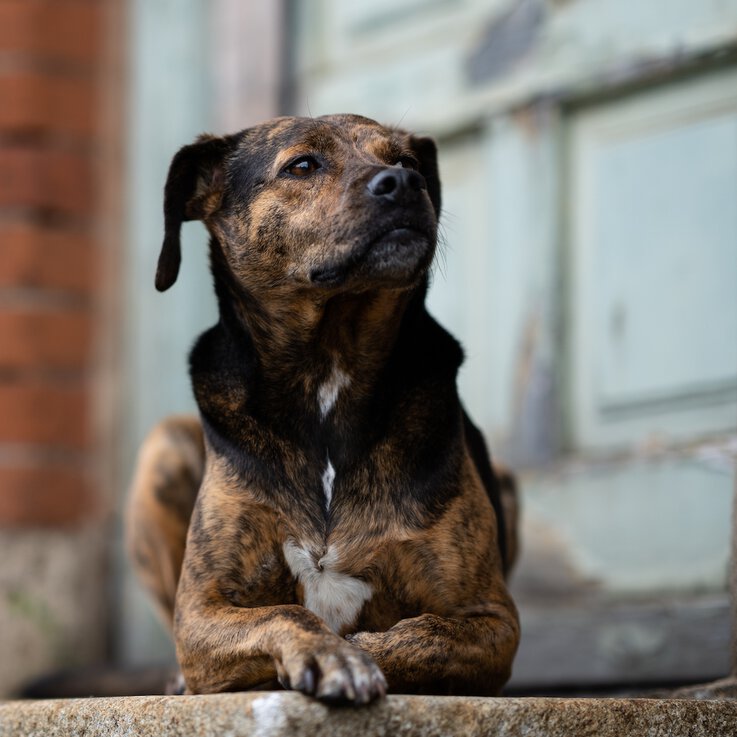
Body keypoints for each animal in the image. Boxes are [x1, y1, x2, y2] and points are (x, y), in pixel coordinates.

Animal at [125, 113, 516, 700]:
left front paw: (351, 652)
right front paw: (329, 652)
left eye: (407, 162)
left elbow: (416, 634)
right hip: (163, 448)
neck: (328, 366)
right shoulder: (198, 611)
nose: (404, 184)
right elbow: (285, 613)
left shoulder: (493, 619)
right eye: (303, 165)